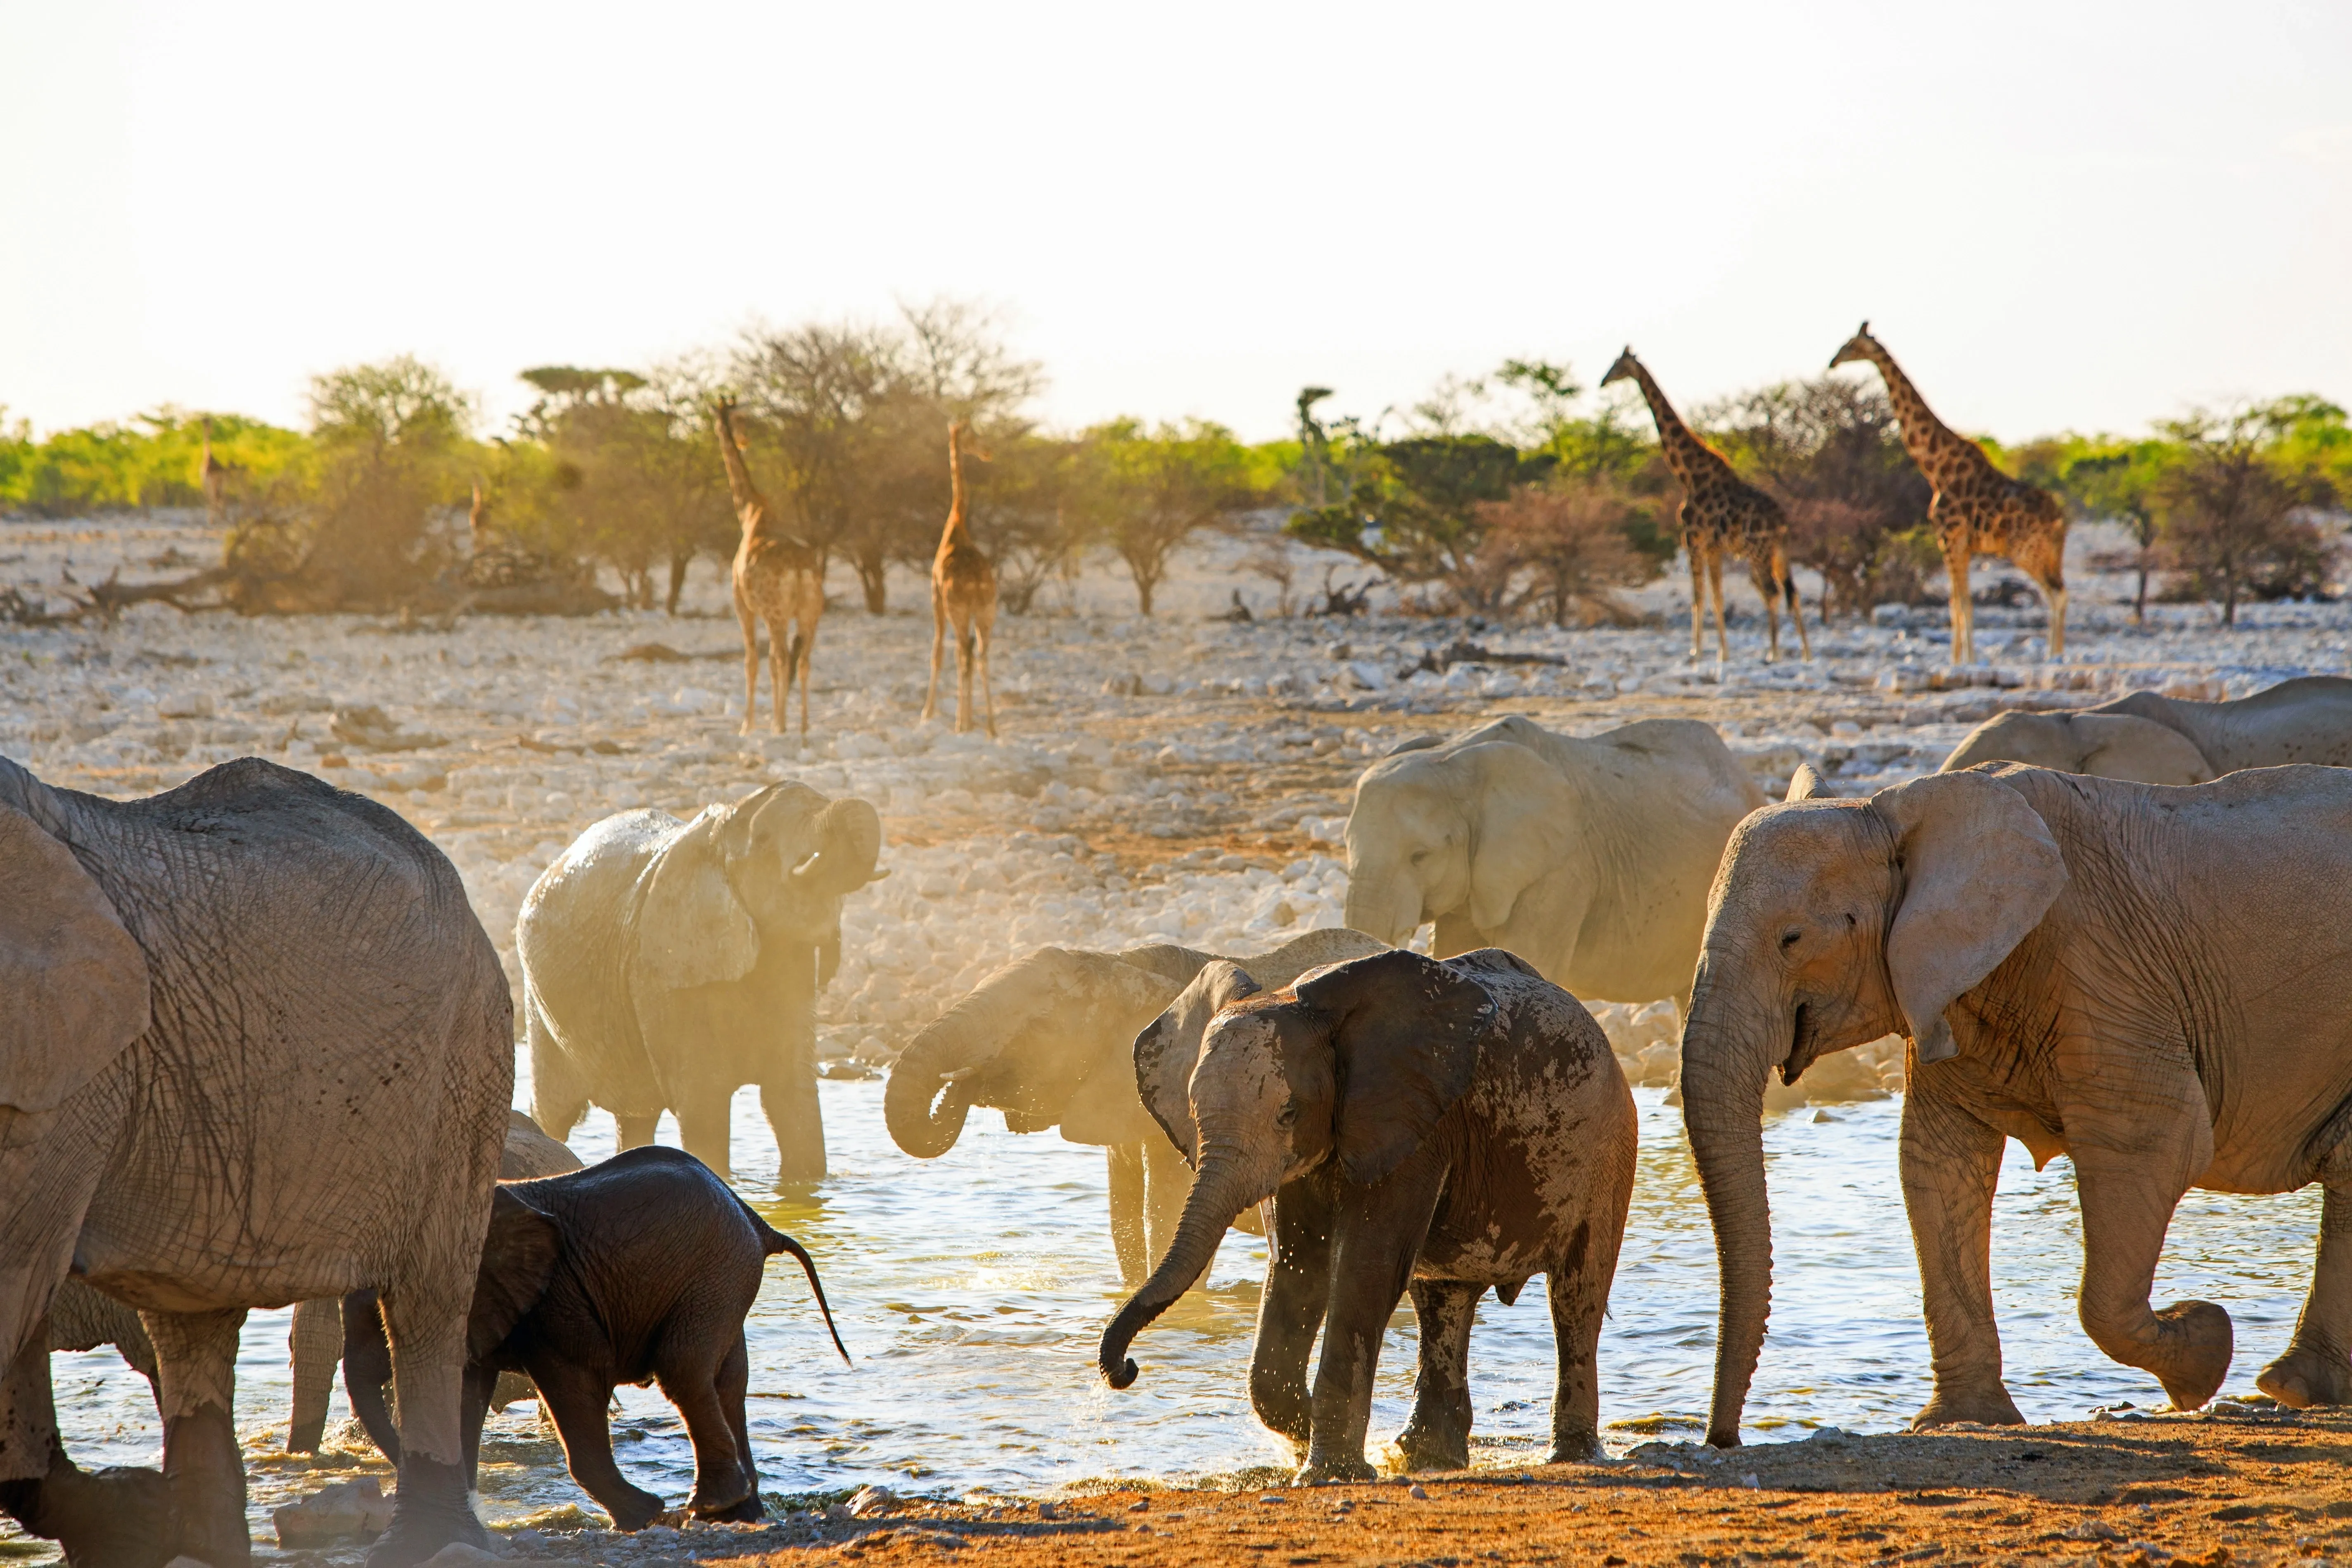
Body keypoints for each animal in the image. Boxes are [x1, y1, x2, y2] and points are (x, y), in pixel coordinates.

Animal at [0, 756, 512, 1568]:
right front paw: (137, 1517)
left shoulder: (69, 1077)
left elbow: (15, 1287)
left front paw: (134, 1515)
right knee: (187, 1322)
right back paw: (202, 1540)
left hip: (465, 1062)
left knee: (426, 1303)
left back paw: (429, 1540)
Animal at [341, 1146, 846, 1531]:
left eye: (380, 1316)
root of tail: (756, 1219)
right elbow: (468, 1391)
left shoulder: (558, 1301)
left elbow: (576, 1382)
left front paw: (642, 1516)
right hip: (725, 1278)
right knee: (727, 1380)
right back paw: (740, 1513)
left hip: (715, 1275)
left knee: (682, 1369)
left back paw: (709, 1507)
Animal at [520, 781, 882, 1184]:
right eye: (764, 839)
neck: (718, 839)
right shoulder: (663, 969)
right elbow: (704, 1101)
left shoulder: (793, 962)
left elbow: (790, 1093)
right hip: (540, 1010)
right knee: (555, 1114)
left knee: (637, 1116)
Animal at [1100, 947, 1636, 1480]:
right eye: (1193, 1111)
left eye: (1288, 1113)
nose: (1127, 1369)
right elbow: (1297, 1267)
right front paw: (1310, 1440)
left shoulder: (1413, 1127)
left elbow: (1364, 1267)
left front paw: (1329, 1470)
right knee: (1441, 1302)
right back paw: (1425, 1457)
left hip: (1606, 1150)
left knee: (1575, 1297)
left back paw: (1569, 1454)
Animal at [1679, 762, 2352, 1450]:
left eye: (1791, 939)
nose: (1723, 1439)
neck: (1895, 810)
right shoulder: (1945, 986)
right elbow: (1936, 1162)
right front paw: (1961, 1420)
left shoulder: (2105, 973)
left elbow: (2158, 1143)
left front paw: (2204, 1352)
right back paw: (2296, 1387)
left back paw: (2284, 1387)